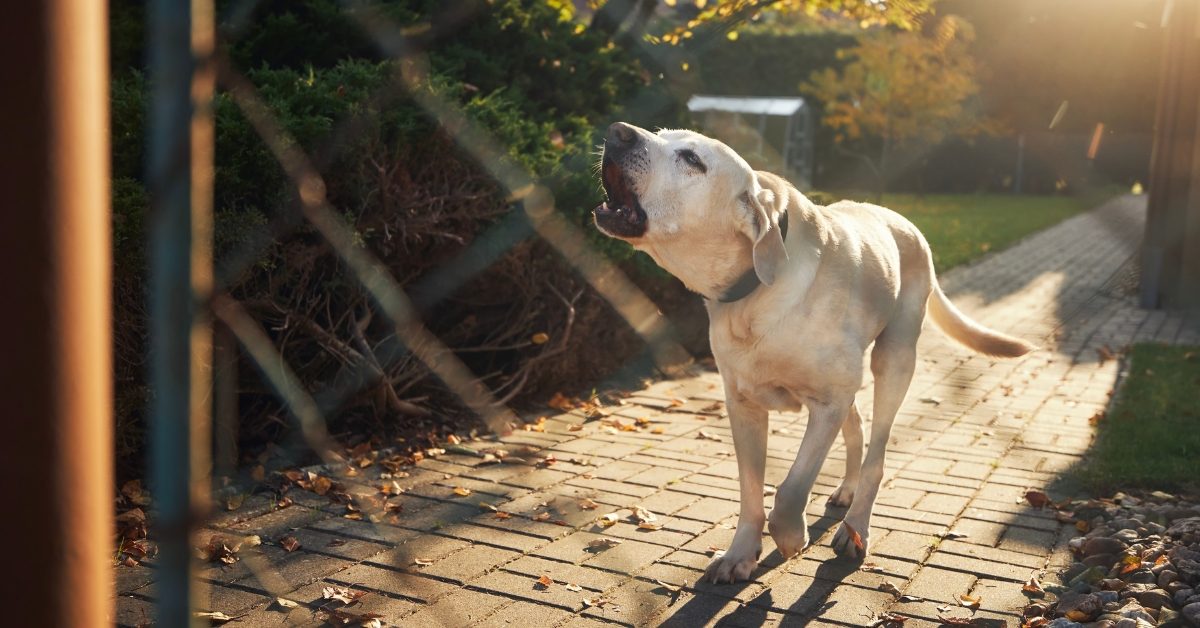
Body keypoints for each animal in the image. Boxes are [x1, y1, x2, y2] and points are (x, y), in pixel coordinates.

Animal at [590, 123, 1032, 585]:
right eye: (661, 134)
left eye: (692, 159)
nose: (618, 132)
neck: (756, 293)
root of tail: (906, 223)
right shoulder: (744, 406)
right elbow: (751, 489)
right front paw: (740, 553)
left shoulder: (826, 404)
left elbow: (790, 488)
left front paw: (789, 537)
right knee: (857, 430)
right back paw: (847, 492)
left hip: (894, 360)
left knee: (876, 453)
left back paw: (856, 528)